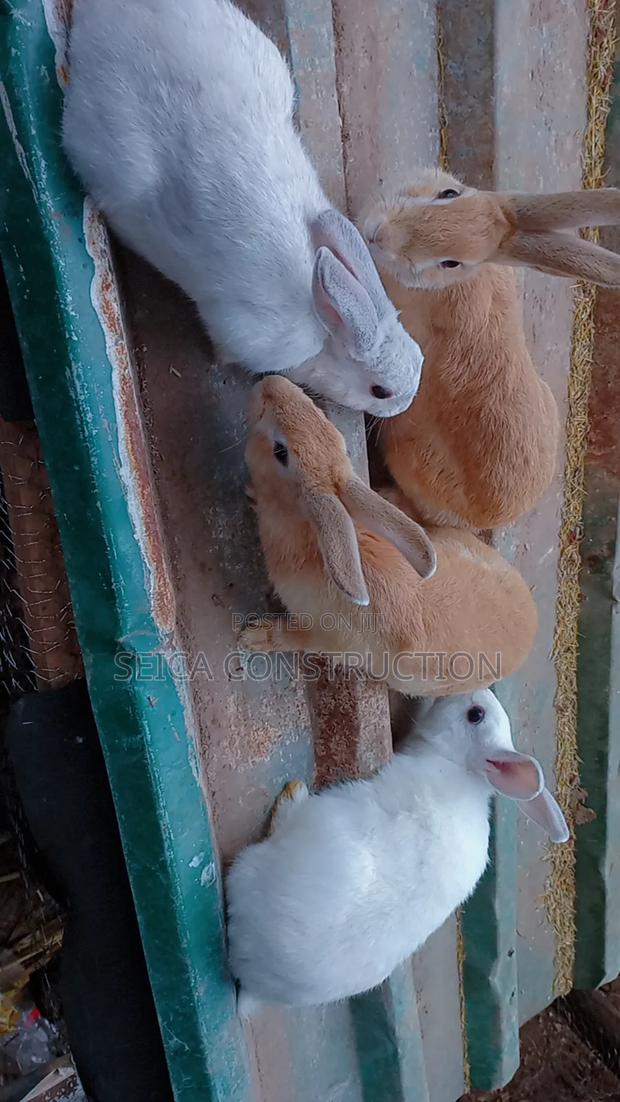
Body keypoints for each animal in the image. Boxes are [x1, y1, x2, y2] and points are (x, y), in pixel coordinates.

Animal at [62, 0, 424, 418]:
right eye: (380, 391)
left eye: (419, 356)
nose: (406, 403)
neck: (323, 325)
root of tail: (100, 16)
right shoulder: (243, 331)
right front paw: (221, 360)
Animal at [238, 376, 538, 697]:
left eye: (280, 452)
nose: (270, 383)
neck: (313, 536)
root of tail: (531, 630)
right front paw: (252, 495)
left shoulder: (323, 637)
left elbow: (290, 637)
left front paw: (253, 637)